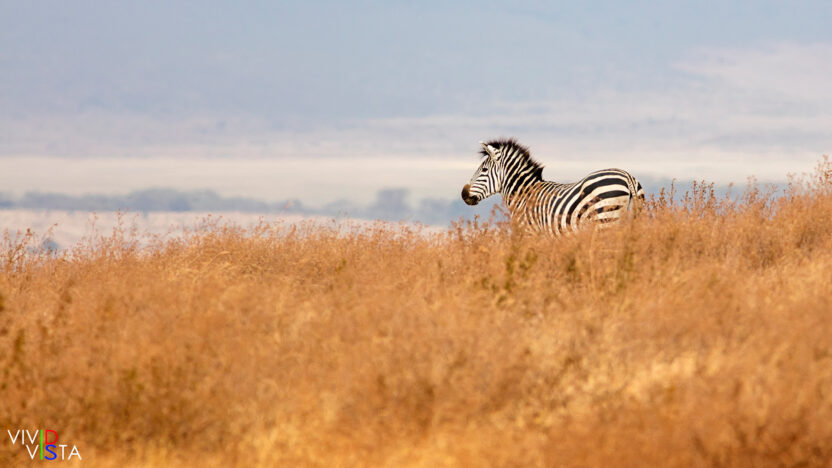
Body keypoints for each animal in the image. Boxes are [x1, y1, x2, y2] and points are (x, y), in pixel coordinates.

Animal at [461, 138, 644, 235]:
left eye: (484, 170)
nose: (463, 194)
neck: (524, 194)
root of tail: (627, 176)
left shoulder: (530, 234)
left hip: (605, 220)